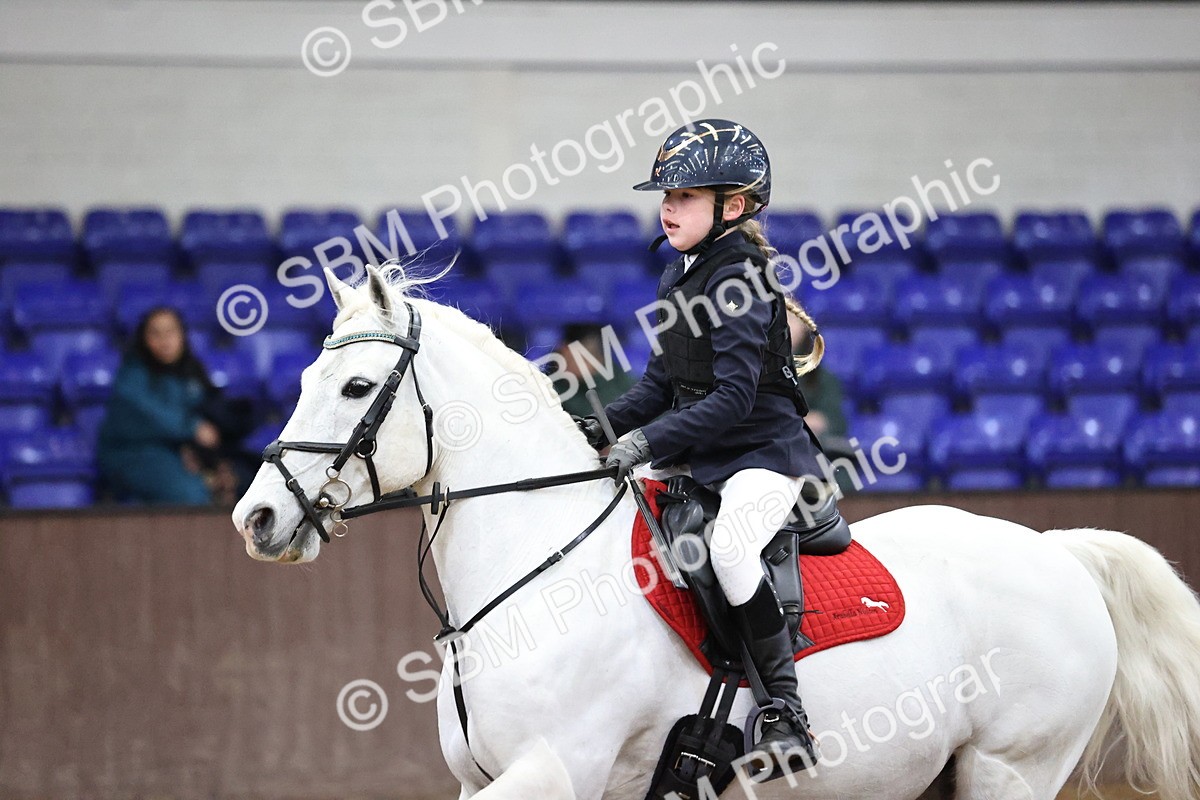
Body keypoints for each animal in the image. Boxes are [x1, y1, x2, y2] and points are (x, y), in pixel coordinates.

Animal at [233, 264, 1200, 800]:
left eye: (358, 388)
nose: (257, 517)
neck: (537, 568)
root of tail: (1054, 549)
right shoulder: (489, 781)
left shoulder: (557, 769)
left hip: (1012, 767)